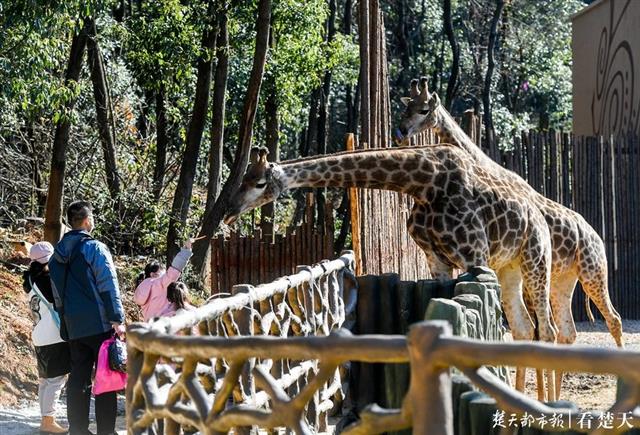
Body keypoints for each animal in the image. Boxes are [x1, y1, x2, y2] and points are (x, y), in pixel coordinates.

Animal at [228, 146, 556, 396]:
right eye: (244, 177)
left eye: (259, 182)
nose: (230, 211)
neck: (423, 184)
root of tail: (539, 215)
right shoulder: (436, 259)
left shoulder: (475, 254)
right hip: (509, 267)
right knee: (524, 327)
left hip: (536, 258)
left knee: (547, 328)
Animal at [398, 76, 624, 396]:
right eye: (406, 107)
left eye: (424, 109)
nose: (402, 130)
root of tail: (596, 236)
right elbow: (531, 333)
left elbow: (534, 332)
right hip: (564, 280)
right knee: (568, 331)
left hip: (593, 272)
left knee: (612, 319)